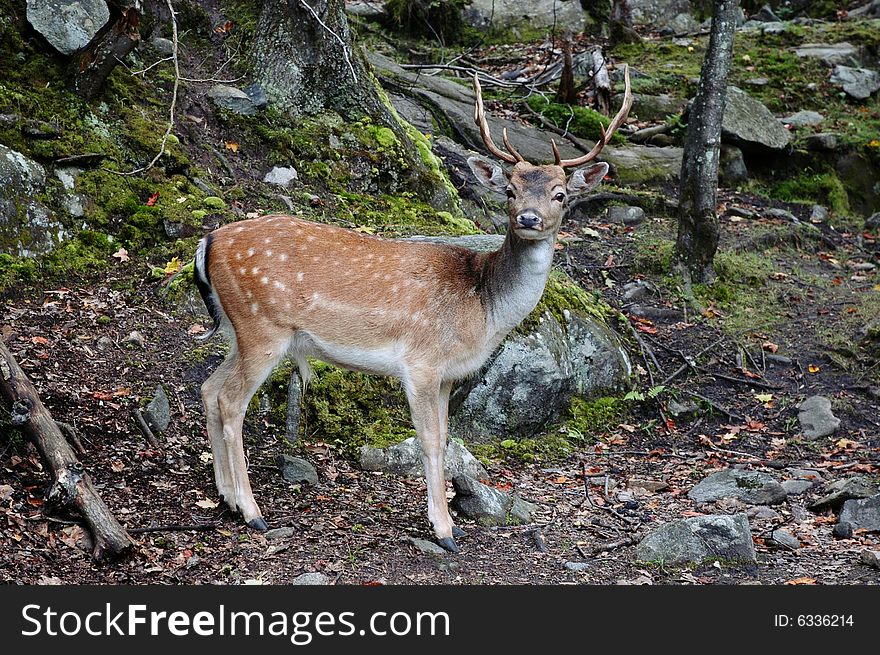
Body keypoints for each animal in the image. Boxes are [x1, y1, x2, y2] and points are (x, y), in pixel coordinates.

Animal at [192, 66, 632, 552]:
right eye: (510, 190)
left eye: (559, 194)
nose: (529, 218)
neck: (483, 308)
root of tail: (207, 243)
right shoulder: (421, 363)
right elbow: (430, 441)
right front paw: (444, 530)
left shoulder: (448, 374)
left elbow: (447, 438)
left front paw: (450, 522)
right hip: (263, 326)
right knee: (230, 401)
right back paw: (252, 512)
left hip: (240, 329)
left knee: (209, 389)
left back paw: (225, 496)